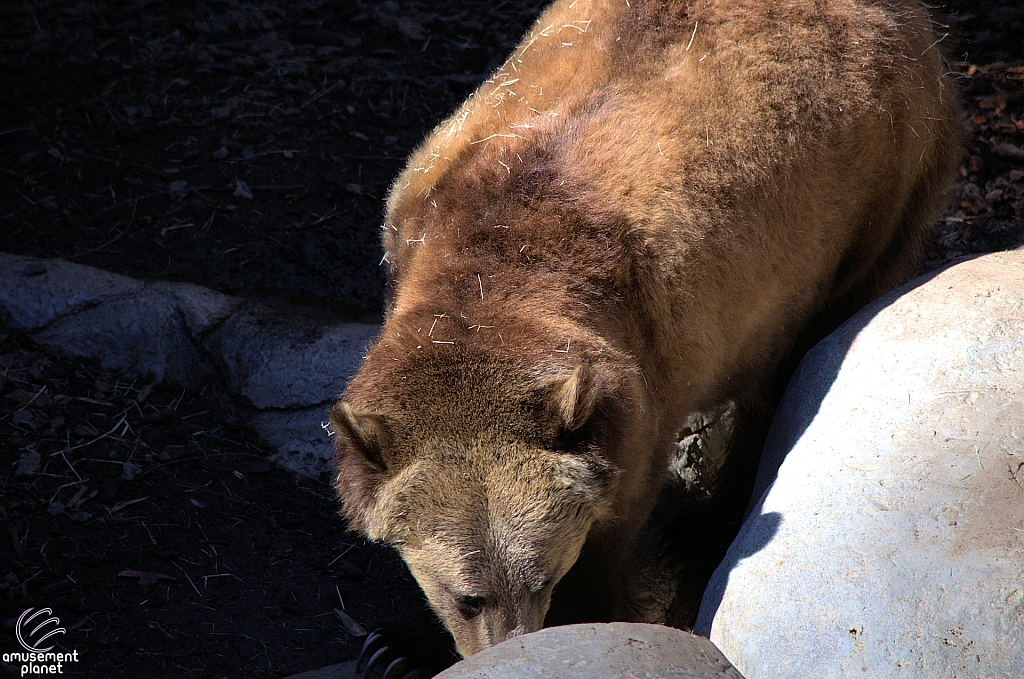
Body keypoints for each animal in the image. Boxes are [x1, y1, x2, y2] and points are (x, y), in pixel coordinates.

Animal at [333, 0, 958, 659]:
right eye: (467, 597)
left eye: (542, 579)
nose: (506, 641)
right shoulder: (414, 216)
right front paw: (396, 645)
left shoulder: (644, 379)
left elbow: (614, 529)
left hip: (883, 186)